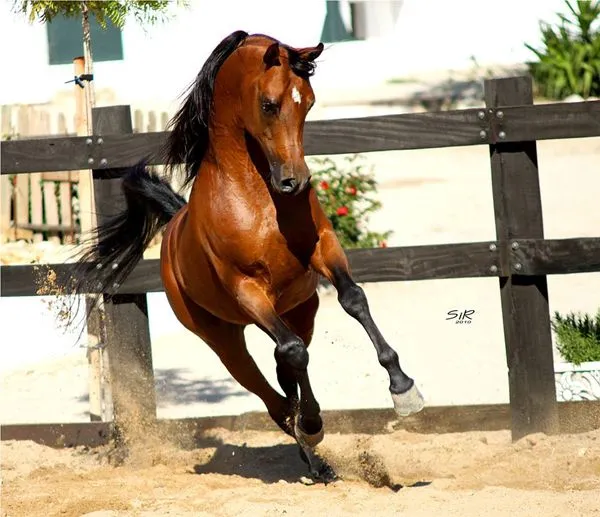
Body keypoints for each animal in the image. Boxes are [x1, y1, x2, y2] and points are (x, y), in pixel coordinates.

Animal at [71, 30, 422, 478]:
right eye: (269, 104)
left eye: (308, 101)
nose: (294, 182)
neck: (257, 197)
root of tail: (172, 227)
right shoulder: (246, 287)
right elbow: (294, 354)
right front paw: (313, 423)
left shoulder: (324, 248)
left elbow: (353, 300)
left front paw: (404, 388)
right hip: (224, 341)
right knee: (274, 391)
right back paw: (311, 445)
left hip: (301, 309)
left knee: (285, 367)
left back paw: (316, 459)